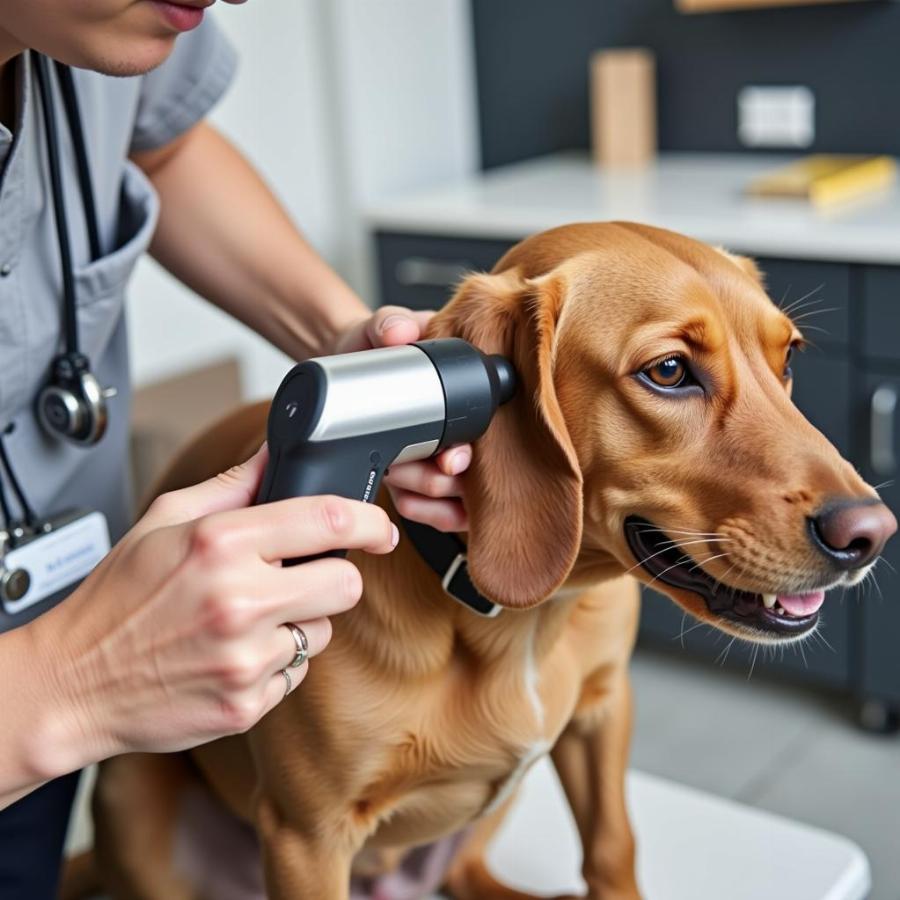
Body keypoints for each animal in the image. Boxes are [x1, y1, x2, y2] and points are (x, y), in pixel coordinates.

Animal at [70, 223, 892, 900]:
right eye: (668, 371)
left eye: (789, 359)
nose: (872, 534)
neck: (523, 619)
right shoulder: (308, 838)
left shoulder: (601, 715)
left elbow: (611, 849)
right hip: (129, 788)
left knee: (464, 873)